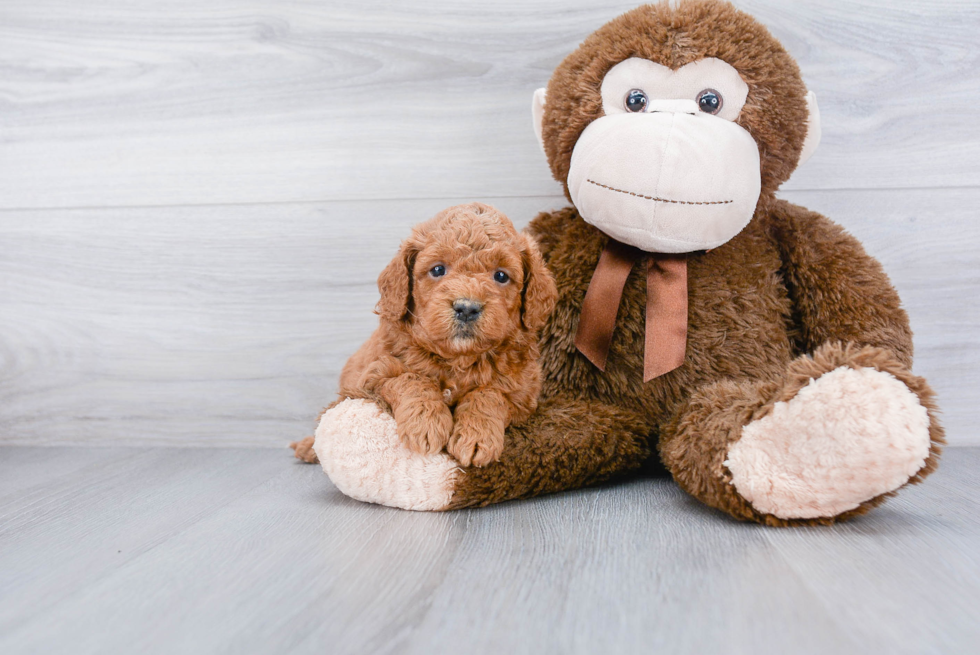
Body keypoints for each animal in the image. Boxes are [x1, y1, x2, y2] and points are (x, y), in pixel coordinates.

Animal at [290, 204, 556, 466]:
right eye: (438, 269)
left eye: (501, 275)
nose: (466, 308)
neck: (458, 360)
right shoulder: (373, 376)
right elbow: (411, 379)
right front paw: (425, 424)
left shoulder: (524, 396)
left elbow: (490, 394)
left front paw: (476, 436)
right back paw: (307, 447)